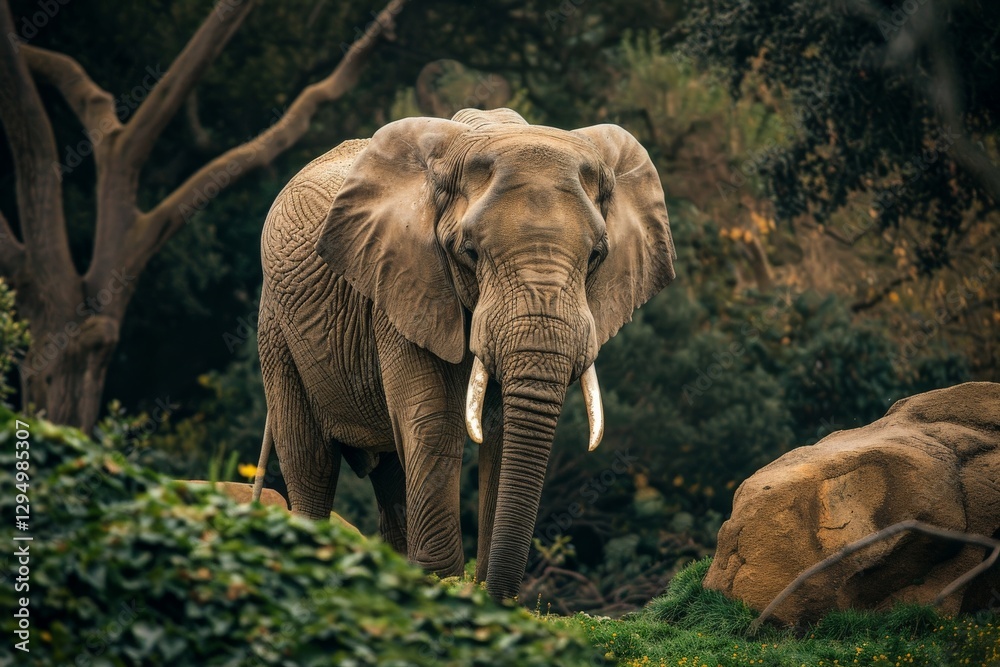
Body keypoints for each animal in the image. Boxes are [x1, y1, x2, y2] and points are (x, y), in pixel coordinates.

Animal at [251, 107, 675, 601]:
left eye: (597, 256)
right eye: (469, 252)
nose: (495, 594)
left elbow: (502, 433)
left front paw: (471, 590)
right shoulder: (404, 282)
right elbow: (431, 418)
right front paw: (442, 584)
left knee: (389, 474)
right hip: (276, 326)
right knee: (310, 460)